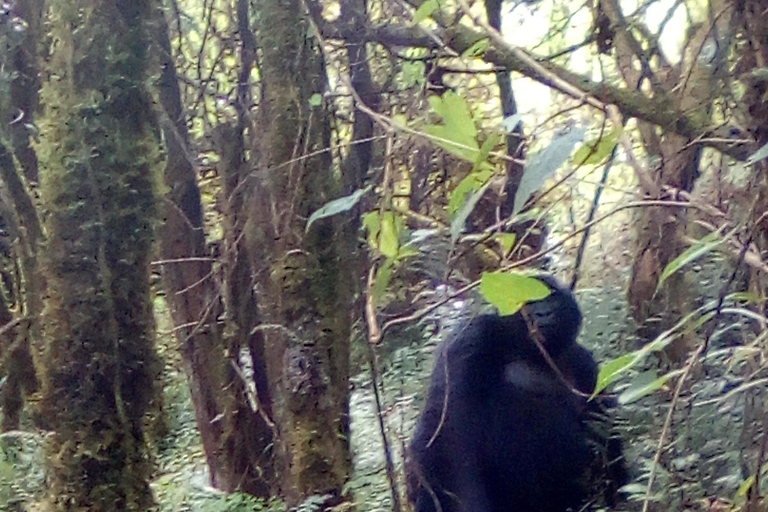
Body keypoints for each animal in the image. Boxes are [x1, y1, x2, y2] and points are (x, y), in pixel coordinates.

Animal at [404, 276, 628, 512]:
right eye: (529, 300)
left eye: (551, 298)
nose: (543, 313)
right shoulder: (469, 341)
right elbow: (445, 435)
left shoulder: (585, 365)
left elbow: (605, 431)